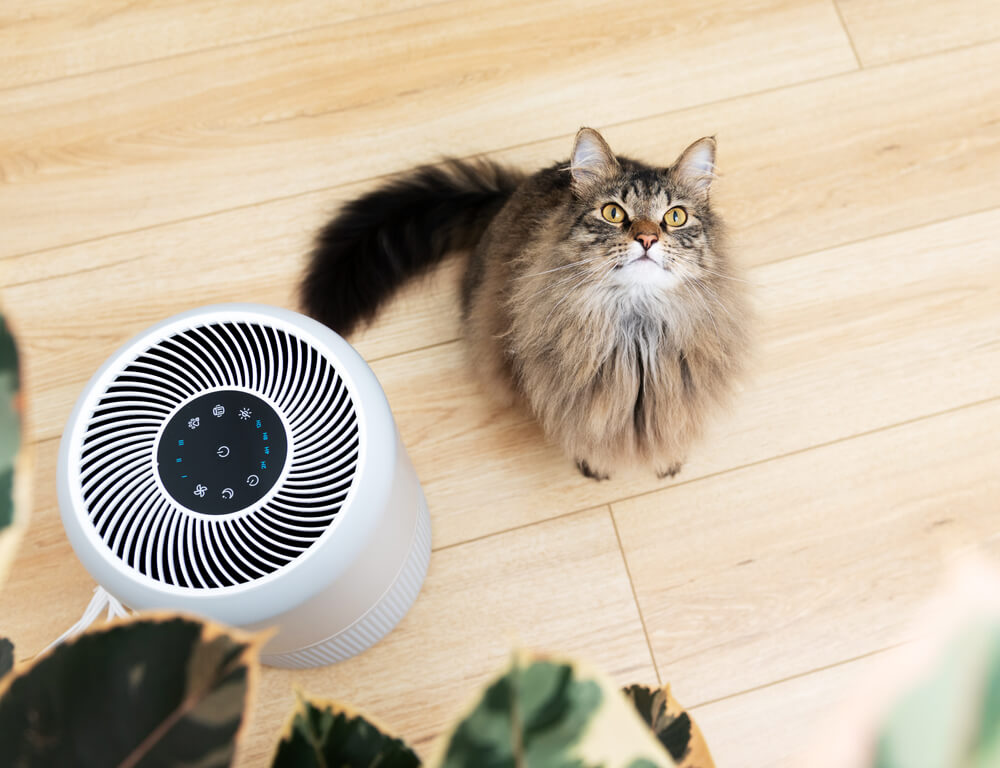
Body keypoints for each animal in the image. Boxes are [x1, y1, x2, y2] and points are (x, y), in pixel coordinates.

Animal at [304, 130, 752, 480]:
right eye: (613, 213)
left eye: (675, 217)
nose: (647, 238)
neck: (635, 331)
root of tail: (510, 194)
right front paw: (593, 464)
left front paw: (668, 460)